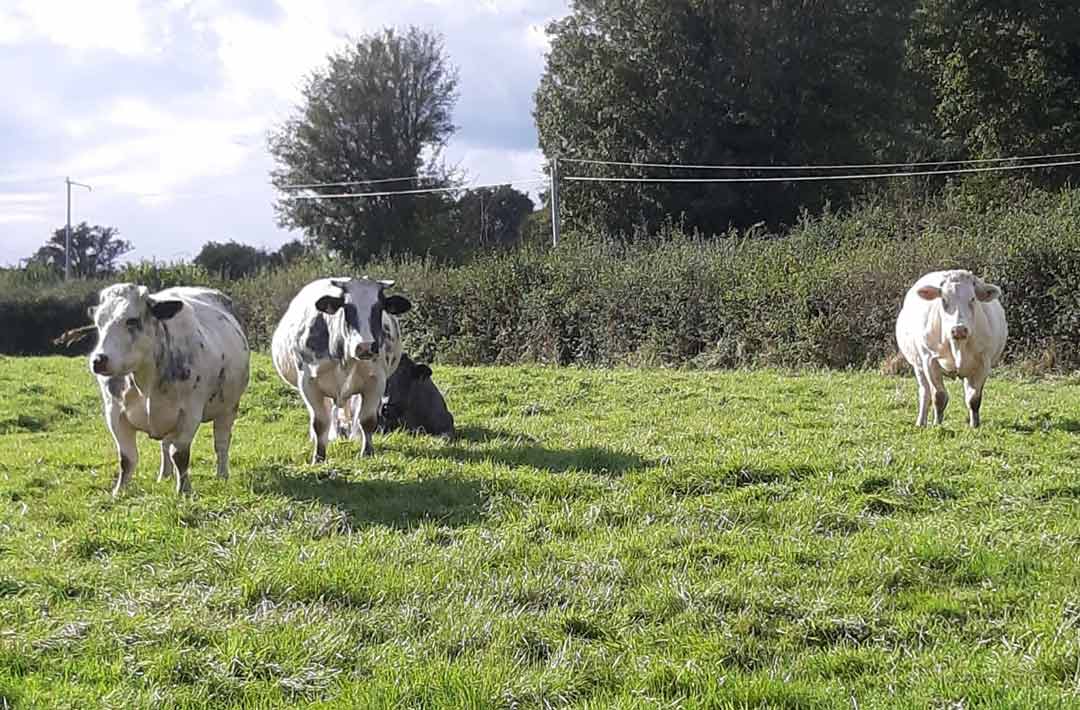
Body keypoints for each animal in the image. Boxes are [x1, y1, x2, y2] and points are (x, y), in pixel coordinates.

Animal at [87, 284, 250, 495]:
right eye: (99, 322)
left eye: (132, 320)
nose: (99, 360)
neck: (146, 382)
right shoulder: (114, 413)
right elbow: (127, 458)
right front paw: (119, 491)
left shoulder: (190, 414)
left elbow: (180, 454)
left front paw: (184, 490)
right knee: (165, 445)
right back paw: (164, 475)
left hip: (228, 407)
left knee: (221, 443)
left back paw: (222, 475)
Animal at [271, 277, 411, 463]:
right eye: (347, 308)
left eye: (380, 307)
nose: (365, 346)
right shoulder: (308, 383)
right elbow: (319, 422)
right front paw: (318, 457)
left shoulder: (376, 381)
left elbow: (367, 420)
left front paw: (367, 452)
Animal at [895, 270, 1007, 428]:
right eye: (944, 300)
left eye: (972, 299)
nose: (959, 329)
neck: (958, 347)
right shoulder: (929, 361)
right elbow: (939, 396)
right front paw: (937, 424)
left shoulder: (983, 363)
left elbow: (974, 399)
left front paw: (974, 425)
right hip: (918, 365)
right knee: (925, 392)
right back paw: (921, 422)